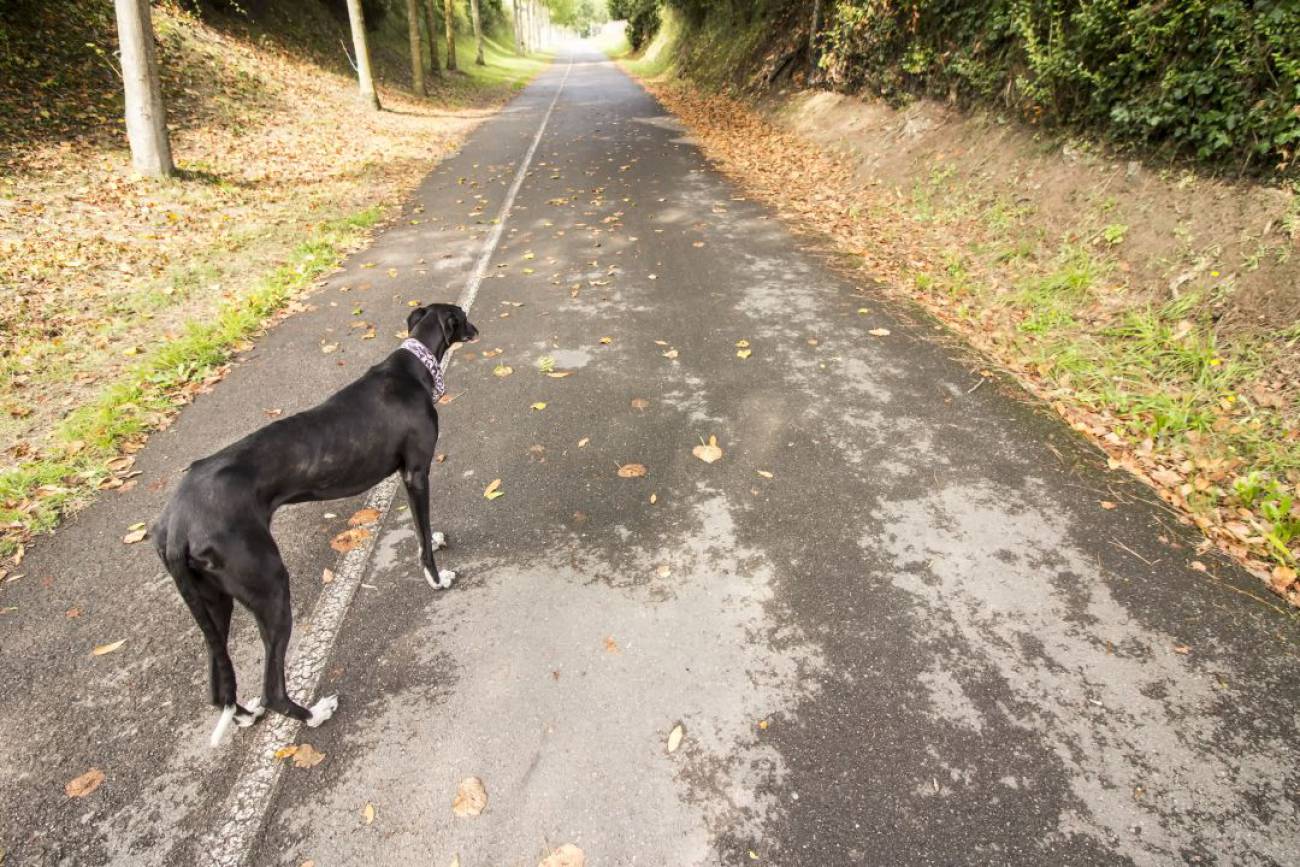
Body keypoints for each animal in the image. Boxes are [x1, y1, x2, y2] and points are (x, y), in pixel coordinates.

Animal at [152, 304, 478, 748]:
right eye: (462, 317)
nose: (476, 329)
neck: (413, 368)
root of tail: (177, 526)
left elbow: (421, 529)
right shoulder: (416, 473)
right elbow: (422, 532)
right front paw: (437, 577)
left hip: (213, 601)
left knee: (219, 686)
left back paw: (244, 715)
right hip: (270, 587)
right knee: (272, 688)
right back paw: (314, 714)